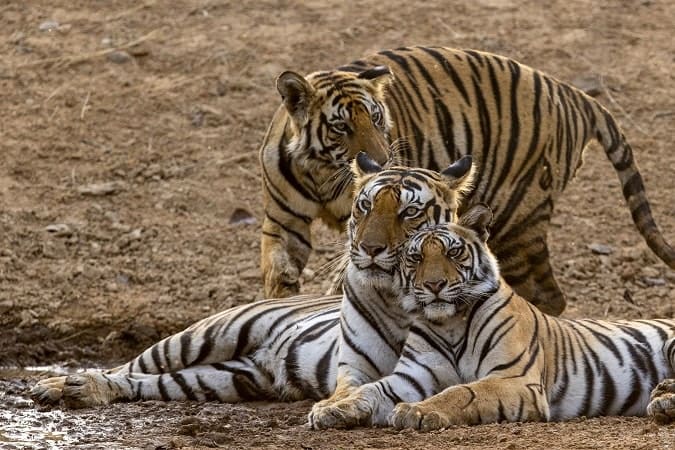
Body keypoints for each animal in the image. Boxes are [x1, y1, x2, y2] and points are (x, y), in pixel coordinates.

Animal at [30, 155, 474, 409]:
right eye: (364, 207)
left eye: (409, 213)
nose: (370, 248)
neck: (398, 296)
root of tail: (264, 357)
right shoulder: (357, 366)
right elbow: (352, 388)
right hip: (201, 335)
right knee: (128, 365)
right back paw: (56, 385)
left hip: (222, 378)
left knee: (145, 381)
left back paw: (81, 391)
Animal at [260, 45, 675, 316]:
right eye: (341, 127)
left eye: (377, 119)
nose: (377, 161)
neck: (321, 175)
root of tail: (575, 94)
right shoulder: (284, 223)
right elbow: (278, 271)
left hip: (516, 222)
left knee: (547, 296)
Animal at [308, 204, 675, 431]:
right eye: (415, 258)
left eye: (453, 252)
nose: (434, 285)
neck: (450, 323)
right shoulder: (411, 377)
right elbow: (370, 389)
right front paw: (331, 409)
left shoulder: (514, 378)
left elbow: (463, 391)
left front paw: (418, 411)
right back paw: (661, 399)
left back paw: (663, 400)